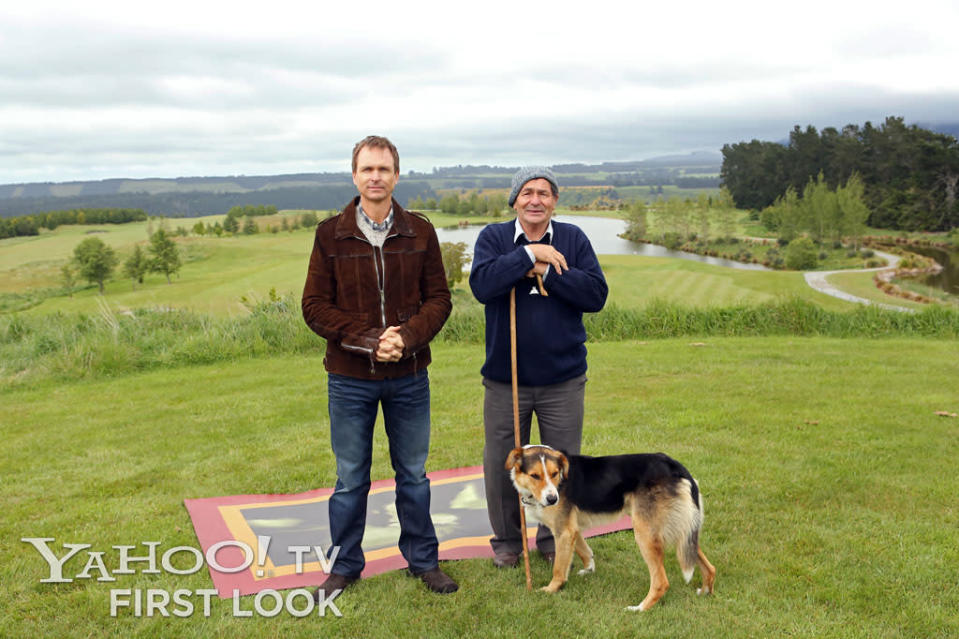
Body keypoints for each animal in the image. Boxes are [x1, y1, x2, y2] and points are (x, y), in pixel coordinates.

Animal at [506, 442, 716, 612]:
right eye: (535, 475)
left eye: (554, 474)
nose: (552, 499)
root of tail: (672, 463)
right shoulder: (572, 528)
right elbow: (584, 550)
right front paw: (589, 569)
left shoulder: (563, 531)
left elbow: (559, 568)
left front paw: (551, 589)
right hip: (683, 532)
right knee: (708, 566)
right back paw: (705, 591)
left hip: (646, 533)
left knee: (661, 582)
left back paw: (640, 608)